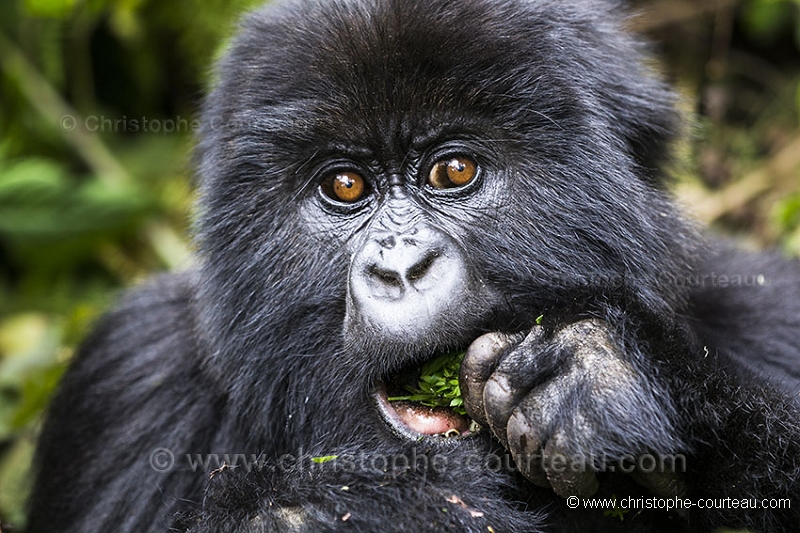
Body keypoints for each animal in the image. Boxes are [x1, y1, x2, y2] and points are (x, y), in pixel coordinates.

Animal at [26, 1, 800, 532]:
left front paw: (607, 374)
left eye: (452, 170)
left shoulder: (772, 313)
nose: (401, 269)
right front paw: (367, 505)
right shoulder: (128, 377)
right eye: (345, 186)